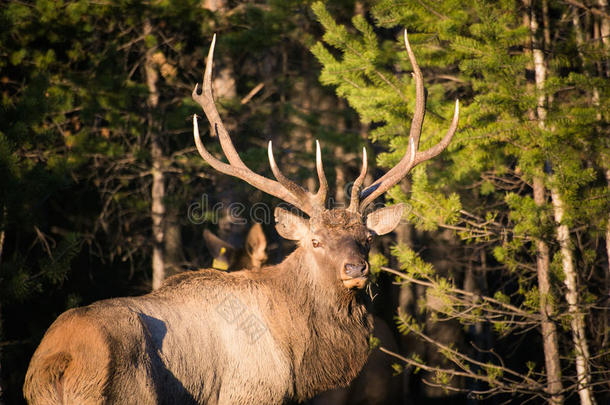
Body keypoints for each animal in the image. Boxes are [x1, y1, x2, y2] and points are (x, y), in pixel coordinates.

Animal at [25, 32, 456, 404]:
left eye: (367, 239)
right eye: (315, 241)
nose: (356, 268)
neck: (296, 357)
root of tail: (59, 362)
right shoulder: (249, 392)